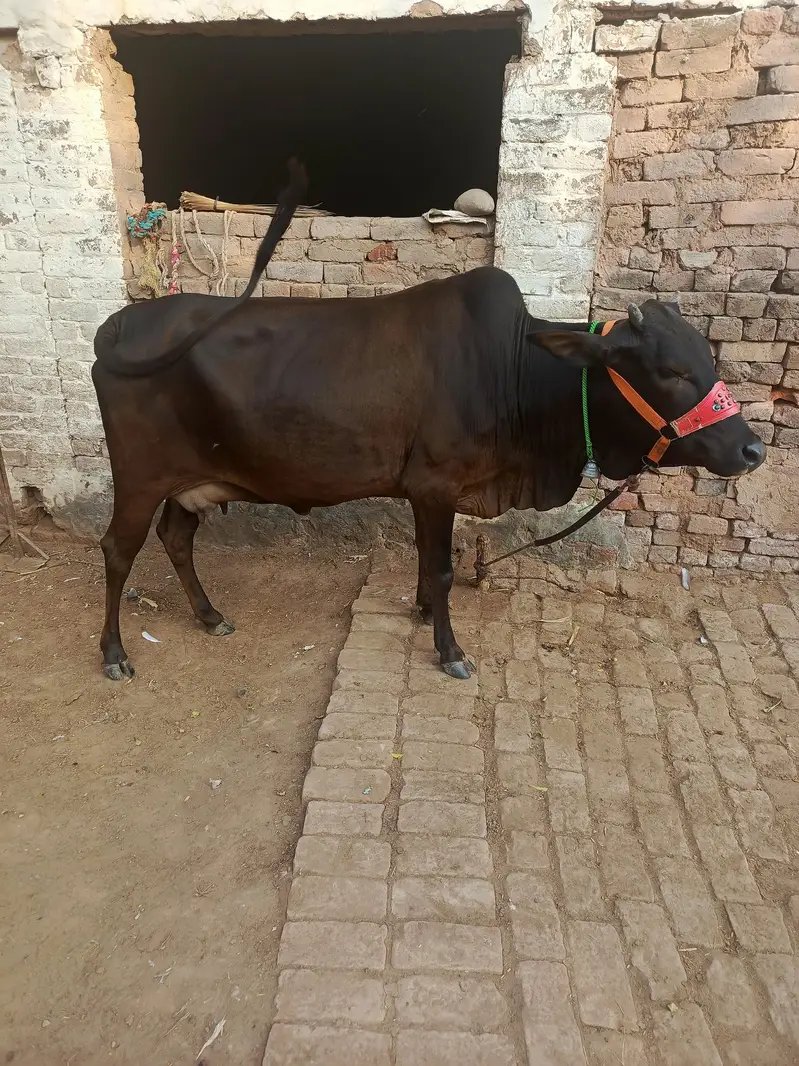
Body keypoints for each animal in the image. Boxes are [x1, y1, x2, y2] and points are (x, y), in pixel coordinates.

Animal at [92, 161, 765, 682]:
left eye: (708, 359)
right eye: (672, 370)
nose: (752, 450)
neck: (516, 371)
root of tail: (118, 325)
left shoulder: (427, 491)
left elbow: (425, 561)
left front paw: (421, 614)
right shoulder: (436, 483)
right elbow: (441, 568)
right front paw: (450, 650)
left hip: (190, 479)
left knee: (176, 538)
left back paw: (209, 615)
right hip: (140, 477)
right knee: (118, 550)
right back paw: (115, 653)